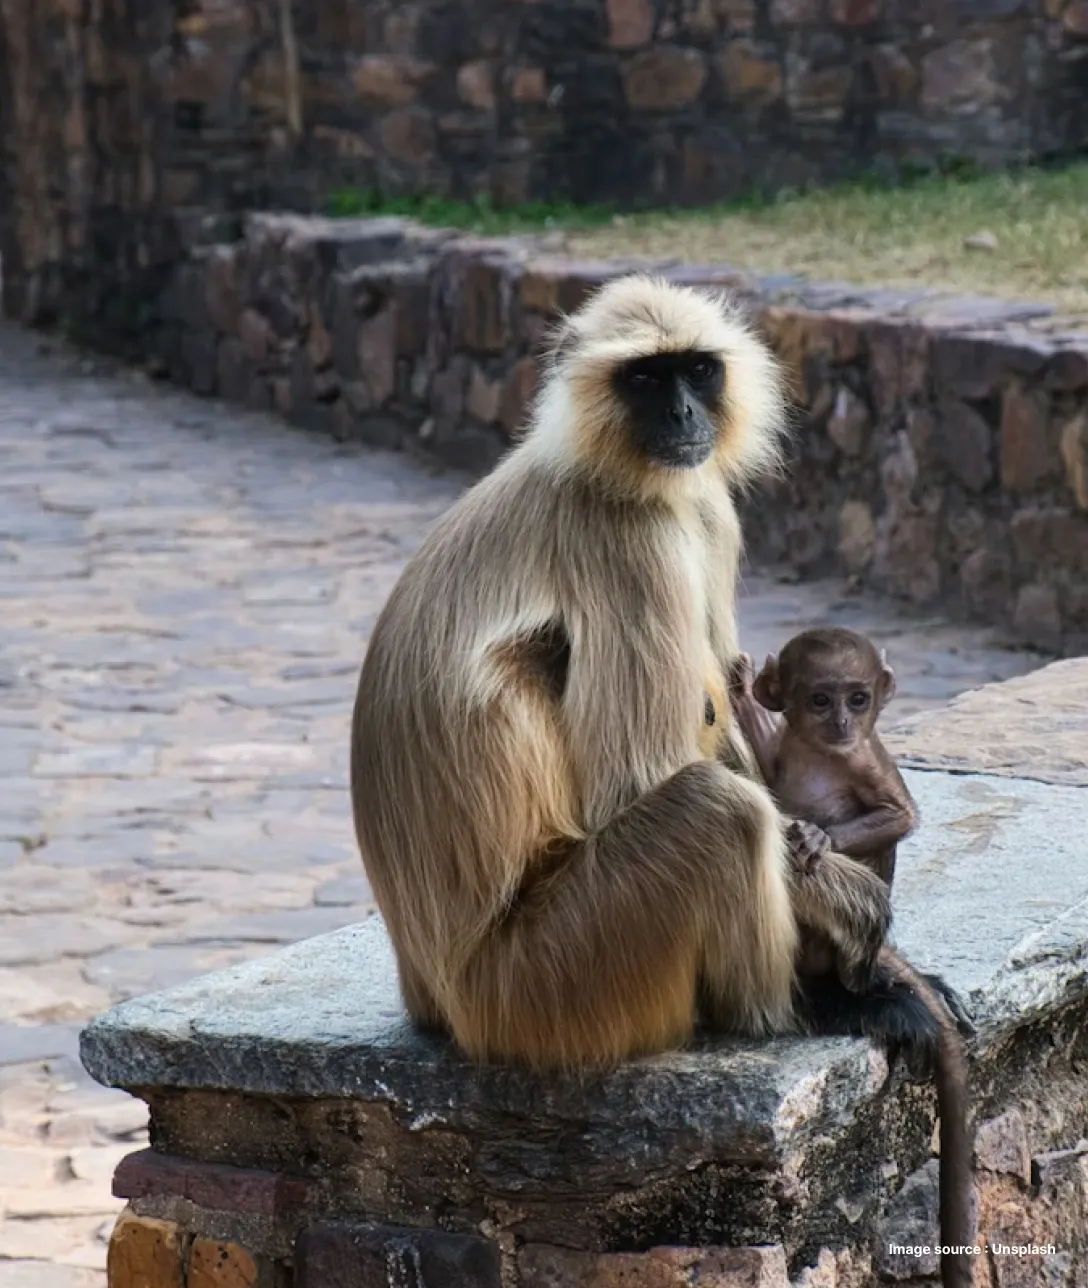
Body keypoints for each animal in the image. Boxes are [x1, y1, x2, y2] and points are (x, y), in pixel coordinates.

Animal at [351, 274, 958, 1091]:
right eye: (643, 378)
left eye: (696, 371)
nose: (680, 413)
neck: (605, 469)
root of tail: (436, 997)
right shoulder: (628, 542)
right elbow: (635, 781)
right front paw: (856, 917)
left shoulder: (705, 508)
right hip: (549, 985)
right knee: (716, 809)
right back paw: (796, 1008)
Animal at [728, 629, 975, 1288]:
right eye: (819, 699)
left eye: (858, 698)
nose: (841, 720)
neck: (823, 752)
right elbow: (764, 767)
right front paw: (742, 693)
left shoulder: (865, 757)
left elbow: (898, 816)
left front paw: (817, 837)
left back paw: (855, 985)